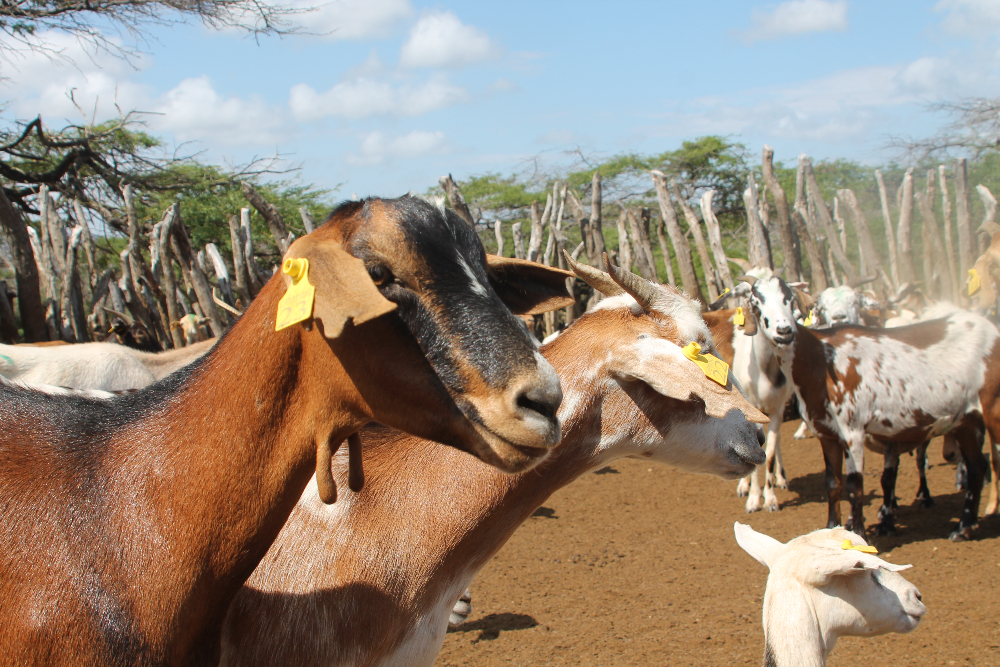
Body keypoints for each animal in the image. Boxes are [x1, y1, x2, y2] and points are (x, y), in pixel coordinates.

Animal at [736, 272, 1000, 544]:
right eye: (756, 303)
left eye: (788, 297)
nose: (784, 331)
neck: (820, 359)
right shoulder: (826, 435)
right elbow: (833, 484)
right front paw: (831, 529)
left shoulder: (853, 431)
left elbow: (855, 486)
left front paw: (859, 534)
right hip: (965, 421)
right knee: (977, 467)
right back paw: (964, 528)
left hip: (992, 408)